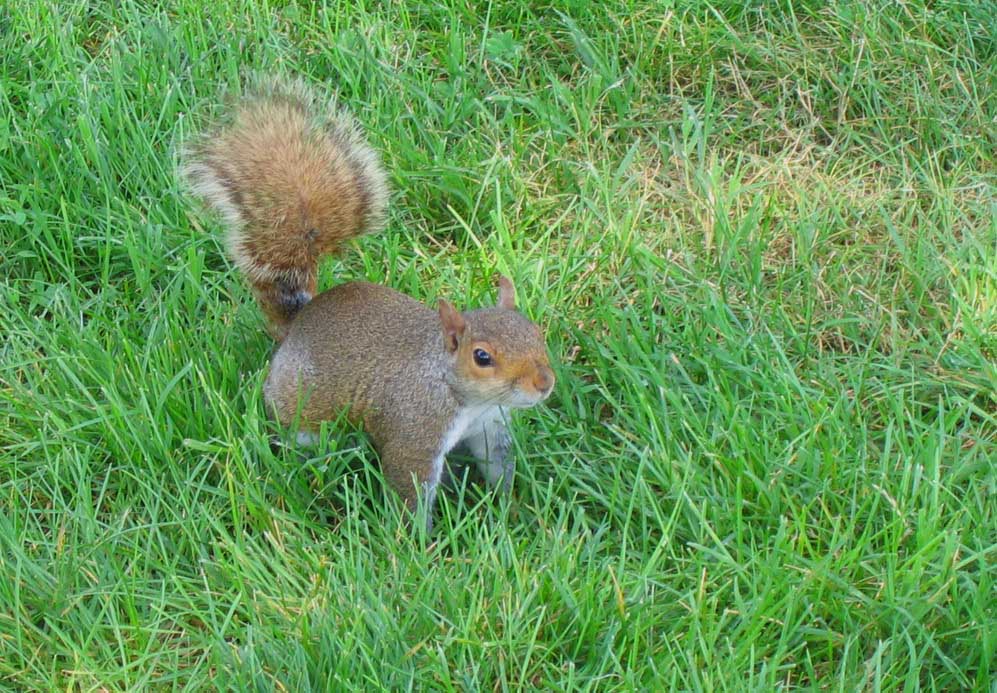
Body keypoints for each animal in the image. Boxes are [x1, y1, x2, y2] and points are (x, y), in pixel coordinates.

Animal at [179, 75, 552, 528]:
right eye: (482, 357)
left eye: (537, 332)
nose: (544, 384)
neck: (456, 389)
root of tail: (300, 319)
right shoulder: (415, 430)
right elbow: (410, 487)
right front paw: (421, 541)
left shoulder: (490, 426)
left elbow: (498, 466)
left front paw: (513, 512)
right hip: (300, 411)